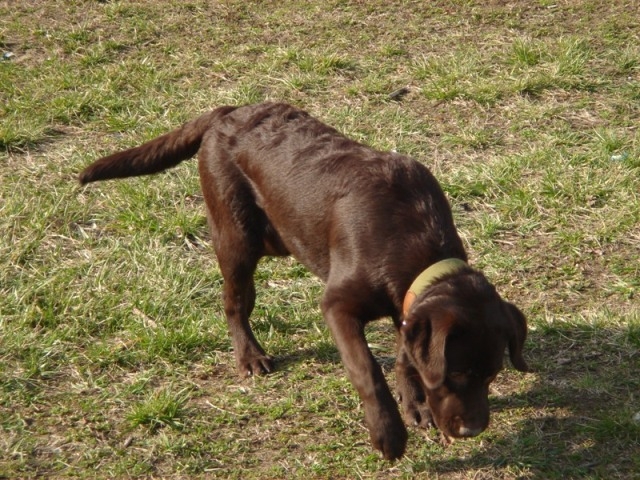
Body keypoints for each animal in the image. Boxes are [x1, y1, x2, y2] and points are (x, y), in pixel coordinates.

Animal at [79, 102, 528, 460]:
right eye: (457, 375)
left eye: (492, 375)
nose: (473, 430)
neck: (415, 244)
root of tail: (227, 112)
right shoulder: (339, 305)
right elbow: (367, 370)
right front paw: (388, 434)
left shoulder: (406, 308)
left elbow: (406, 354)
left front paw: (414, 404)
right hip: (236, 238)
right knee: (233, 301)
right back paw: (249, 356)